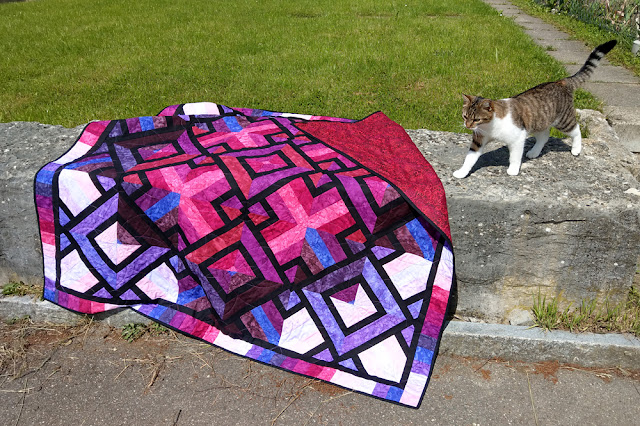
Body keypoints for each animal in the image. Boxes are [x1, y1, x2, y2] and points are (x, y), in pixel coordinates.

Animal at [453, 39, 617, 178]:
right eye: (465, 117)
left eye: (476, 119)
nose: (467, 126)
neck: (489, 127)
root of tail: (561, 82)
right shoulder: (478, 140)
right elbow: (469, 159)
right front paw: (461, 172)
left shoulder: (518, 137)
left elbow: (515, 156)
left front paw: (513, 170)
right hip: (539, 121)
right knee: (544, 136)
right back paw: (534, 152)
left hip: (563, 121)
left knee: (576, 130)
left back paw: (576, 149)